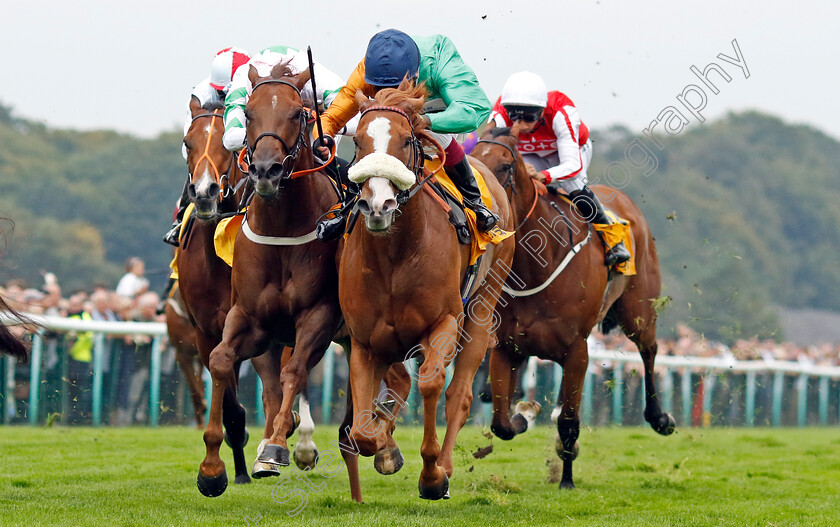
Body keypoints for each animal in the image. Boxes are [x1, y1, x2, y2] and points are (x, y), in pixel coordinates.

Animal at [338, 80, 516, 502]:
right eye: (358, 141)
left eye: (406, 140)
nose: (378, 205)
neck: (395, 255)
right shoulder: (363, 340)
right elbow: (363, 429)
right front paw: (383, 444)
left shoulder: (445, 321)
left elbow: (432, 383)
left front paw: (432, 475)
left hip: (483, 307)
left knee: (459, 394)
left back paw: (445, 468)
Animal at [472, 128, 676, 490]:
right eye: (473, 160)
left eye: (506, 166)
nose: (484, 207)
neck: (537, 264)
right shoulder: (507, 348)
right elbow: (501, 423)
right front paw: (525, 412)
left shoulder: (577, 350)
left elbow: (569, 422)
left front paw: (566, 479)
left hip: (638, 312)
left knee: (649, 350)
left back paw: (660, 417)